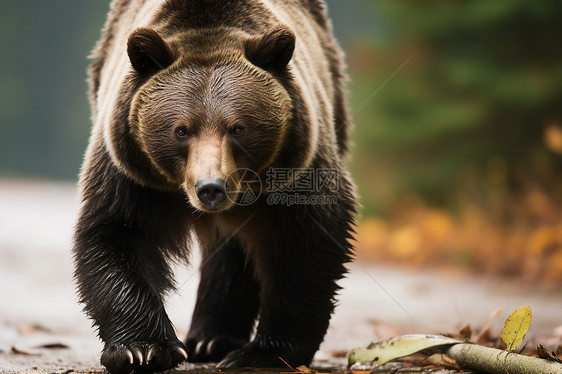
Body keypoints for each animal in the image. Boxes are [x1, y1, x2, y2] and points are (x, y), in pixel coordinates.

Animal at [73, 0, 354, 374]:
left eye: (237, 128)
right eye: (181, 130)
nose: (211, 187)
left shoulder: (298, 168)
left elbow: (305, 243)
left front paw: (265, 351)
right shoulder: (130, 171)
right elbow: (116, 231)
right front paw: (141, 349)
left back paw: (214, 340)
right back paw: (206, 341)